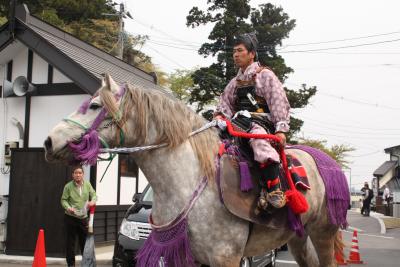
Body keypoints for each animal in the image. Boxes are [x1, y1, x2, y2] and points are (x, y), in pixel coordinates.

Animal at [45, 74, 348, 267]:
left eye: (95, 105)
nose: (49, 141)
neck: (186, 181)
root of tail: (328, 162)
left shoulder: (227, 257)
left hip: (323, 232)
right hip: (299, 236)